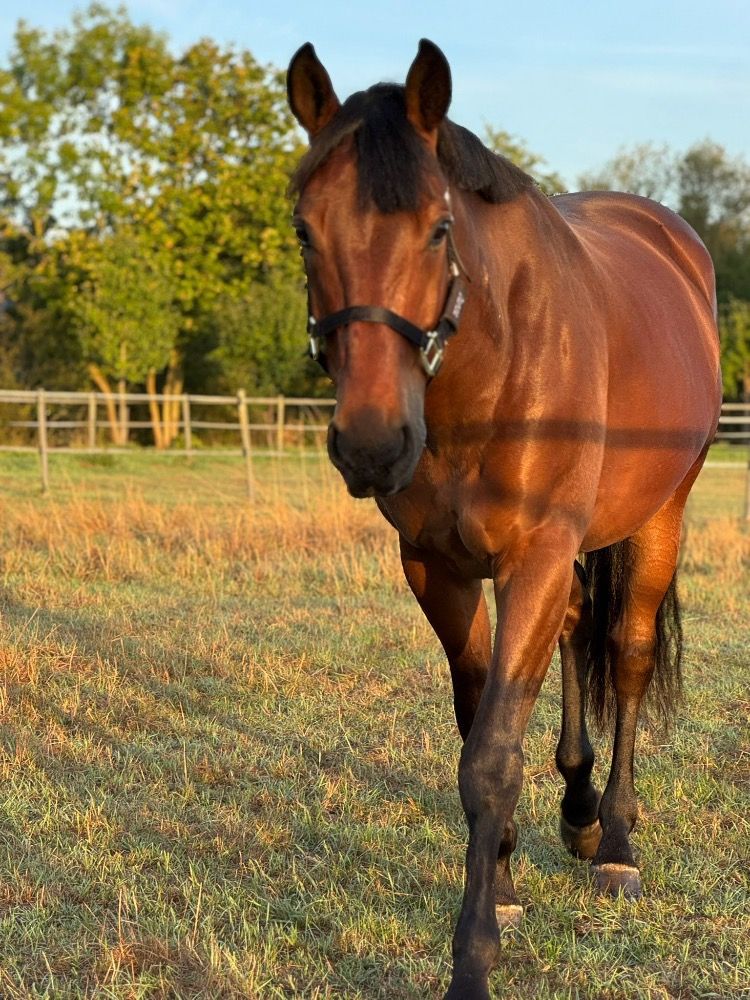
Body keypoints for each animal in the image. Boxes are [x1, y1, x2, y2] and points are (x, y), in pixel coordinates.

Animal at [286, 39, 721, 1000]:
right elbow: (476, 721)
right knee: (574, 632)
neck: (490, 373)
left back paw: (617, 840)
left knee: (625, 655)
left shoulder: (535, 556)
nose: (371, 443)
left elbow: (490, 757)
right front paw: (510, 881)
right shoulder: (437, 567)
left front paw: (474, 956)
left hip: (659, 517)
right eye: (303, 230)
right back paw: (579, 810)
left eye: (437, 229)